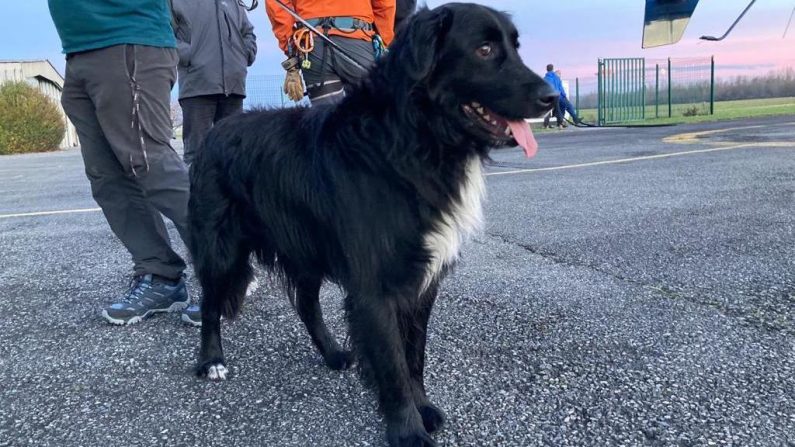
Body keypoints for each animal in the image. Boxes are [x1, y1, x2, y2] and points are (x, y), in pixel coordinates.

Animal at [190, 4, 556, 447]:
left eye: (515, 47)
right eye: (484, 49)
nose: (552, 98)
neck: (411, 141)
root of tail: (214, 132)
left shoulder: (421, 282)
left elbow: (413, 355)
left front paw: (423, 408)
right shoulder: (375, 288)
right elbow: (393, 364)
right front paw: (408, 431)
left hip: (305, 250)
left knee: (307, 305)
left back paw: (332, 354)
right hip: (220, 247)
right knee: (210, 303)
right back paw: (211, 361)